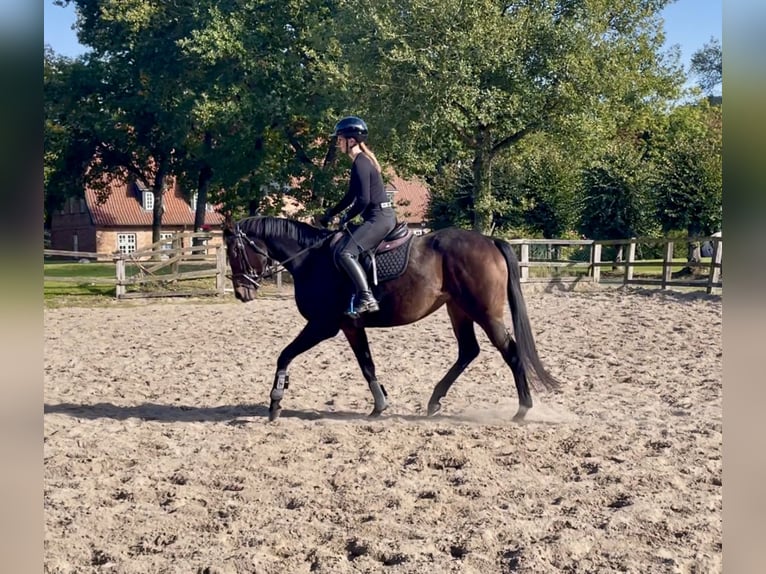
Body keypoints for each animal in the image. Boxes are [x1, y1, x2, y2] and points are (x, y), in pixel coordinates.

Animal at [223, 216, 560, 422]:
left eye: (235, 251)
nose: (241, 292)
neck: (311, 259)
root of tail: (489, 241)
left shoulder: (323, 325)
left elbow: (284, 355)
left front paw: (275, 401)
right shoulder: (350, 326)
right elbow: (366, 364)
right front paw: (380, 405)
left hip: (484, 312)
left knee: (510, 351)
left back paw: (522, 409)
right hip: (459, 309)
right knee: (468, 351)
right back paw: (434, 401)